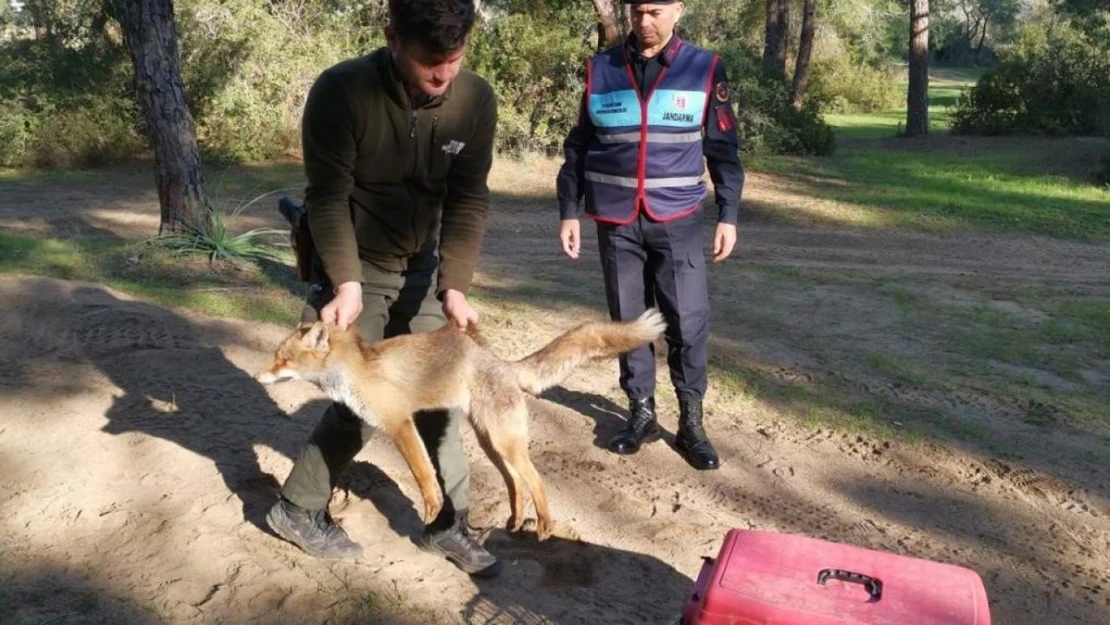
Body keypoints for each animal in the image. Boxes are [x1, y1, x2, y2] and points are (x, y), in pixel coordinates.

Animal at [255, 310, 661, 539]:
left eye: (283, 359)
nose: (260, 375)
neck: (356, 371)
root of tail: (502, 363)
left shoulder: (400, 423)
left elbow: (423, 474)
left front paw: (432, 508)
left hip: (505, 442)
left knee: (535, 481)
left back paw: (544, 528)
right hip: (491, 444)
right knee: (516, 484)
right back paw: (514, 524)